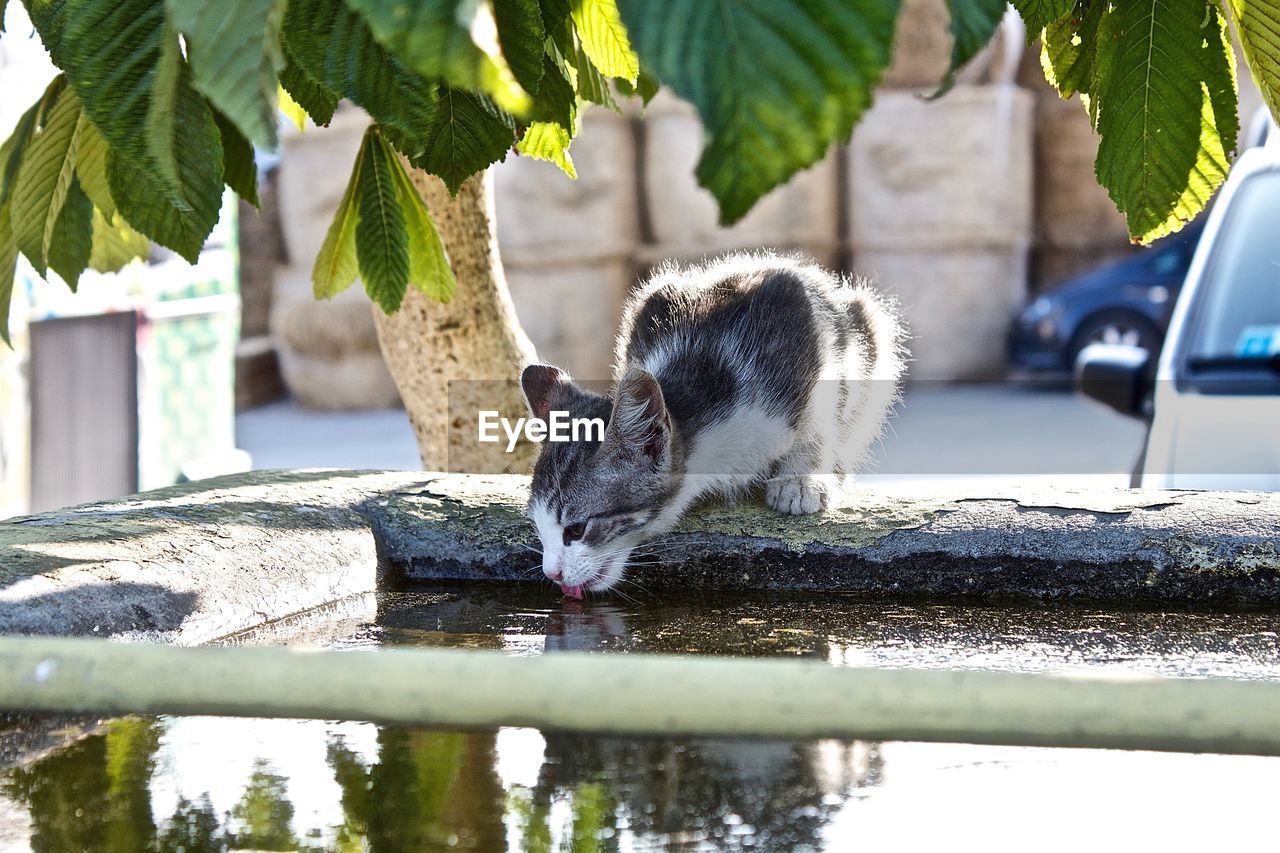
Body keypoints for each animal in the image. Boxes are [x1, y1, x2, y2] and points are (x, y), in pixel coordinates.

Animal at [514, 253, 906, 596]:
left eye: (576, 530)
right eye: (539, 528)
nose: (552, 573)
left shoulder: (800, 326)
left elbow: (820, 420)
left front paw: (802, 480)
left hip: (867, 330)